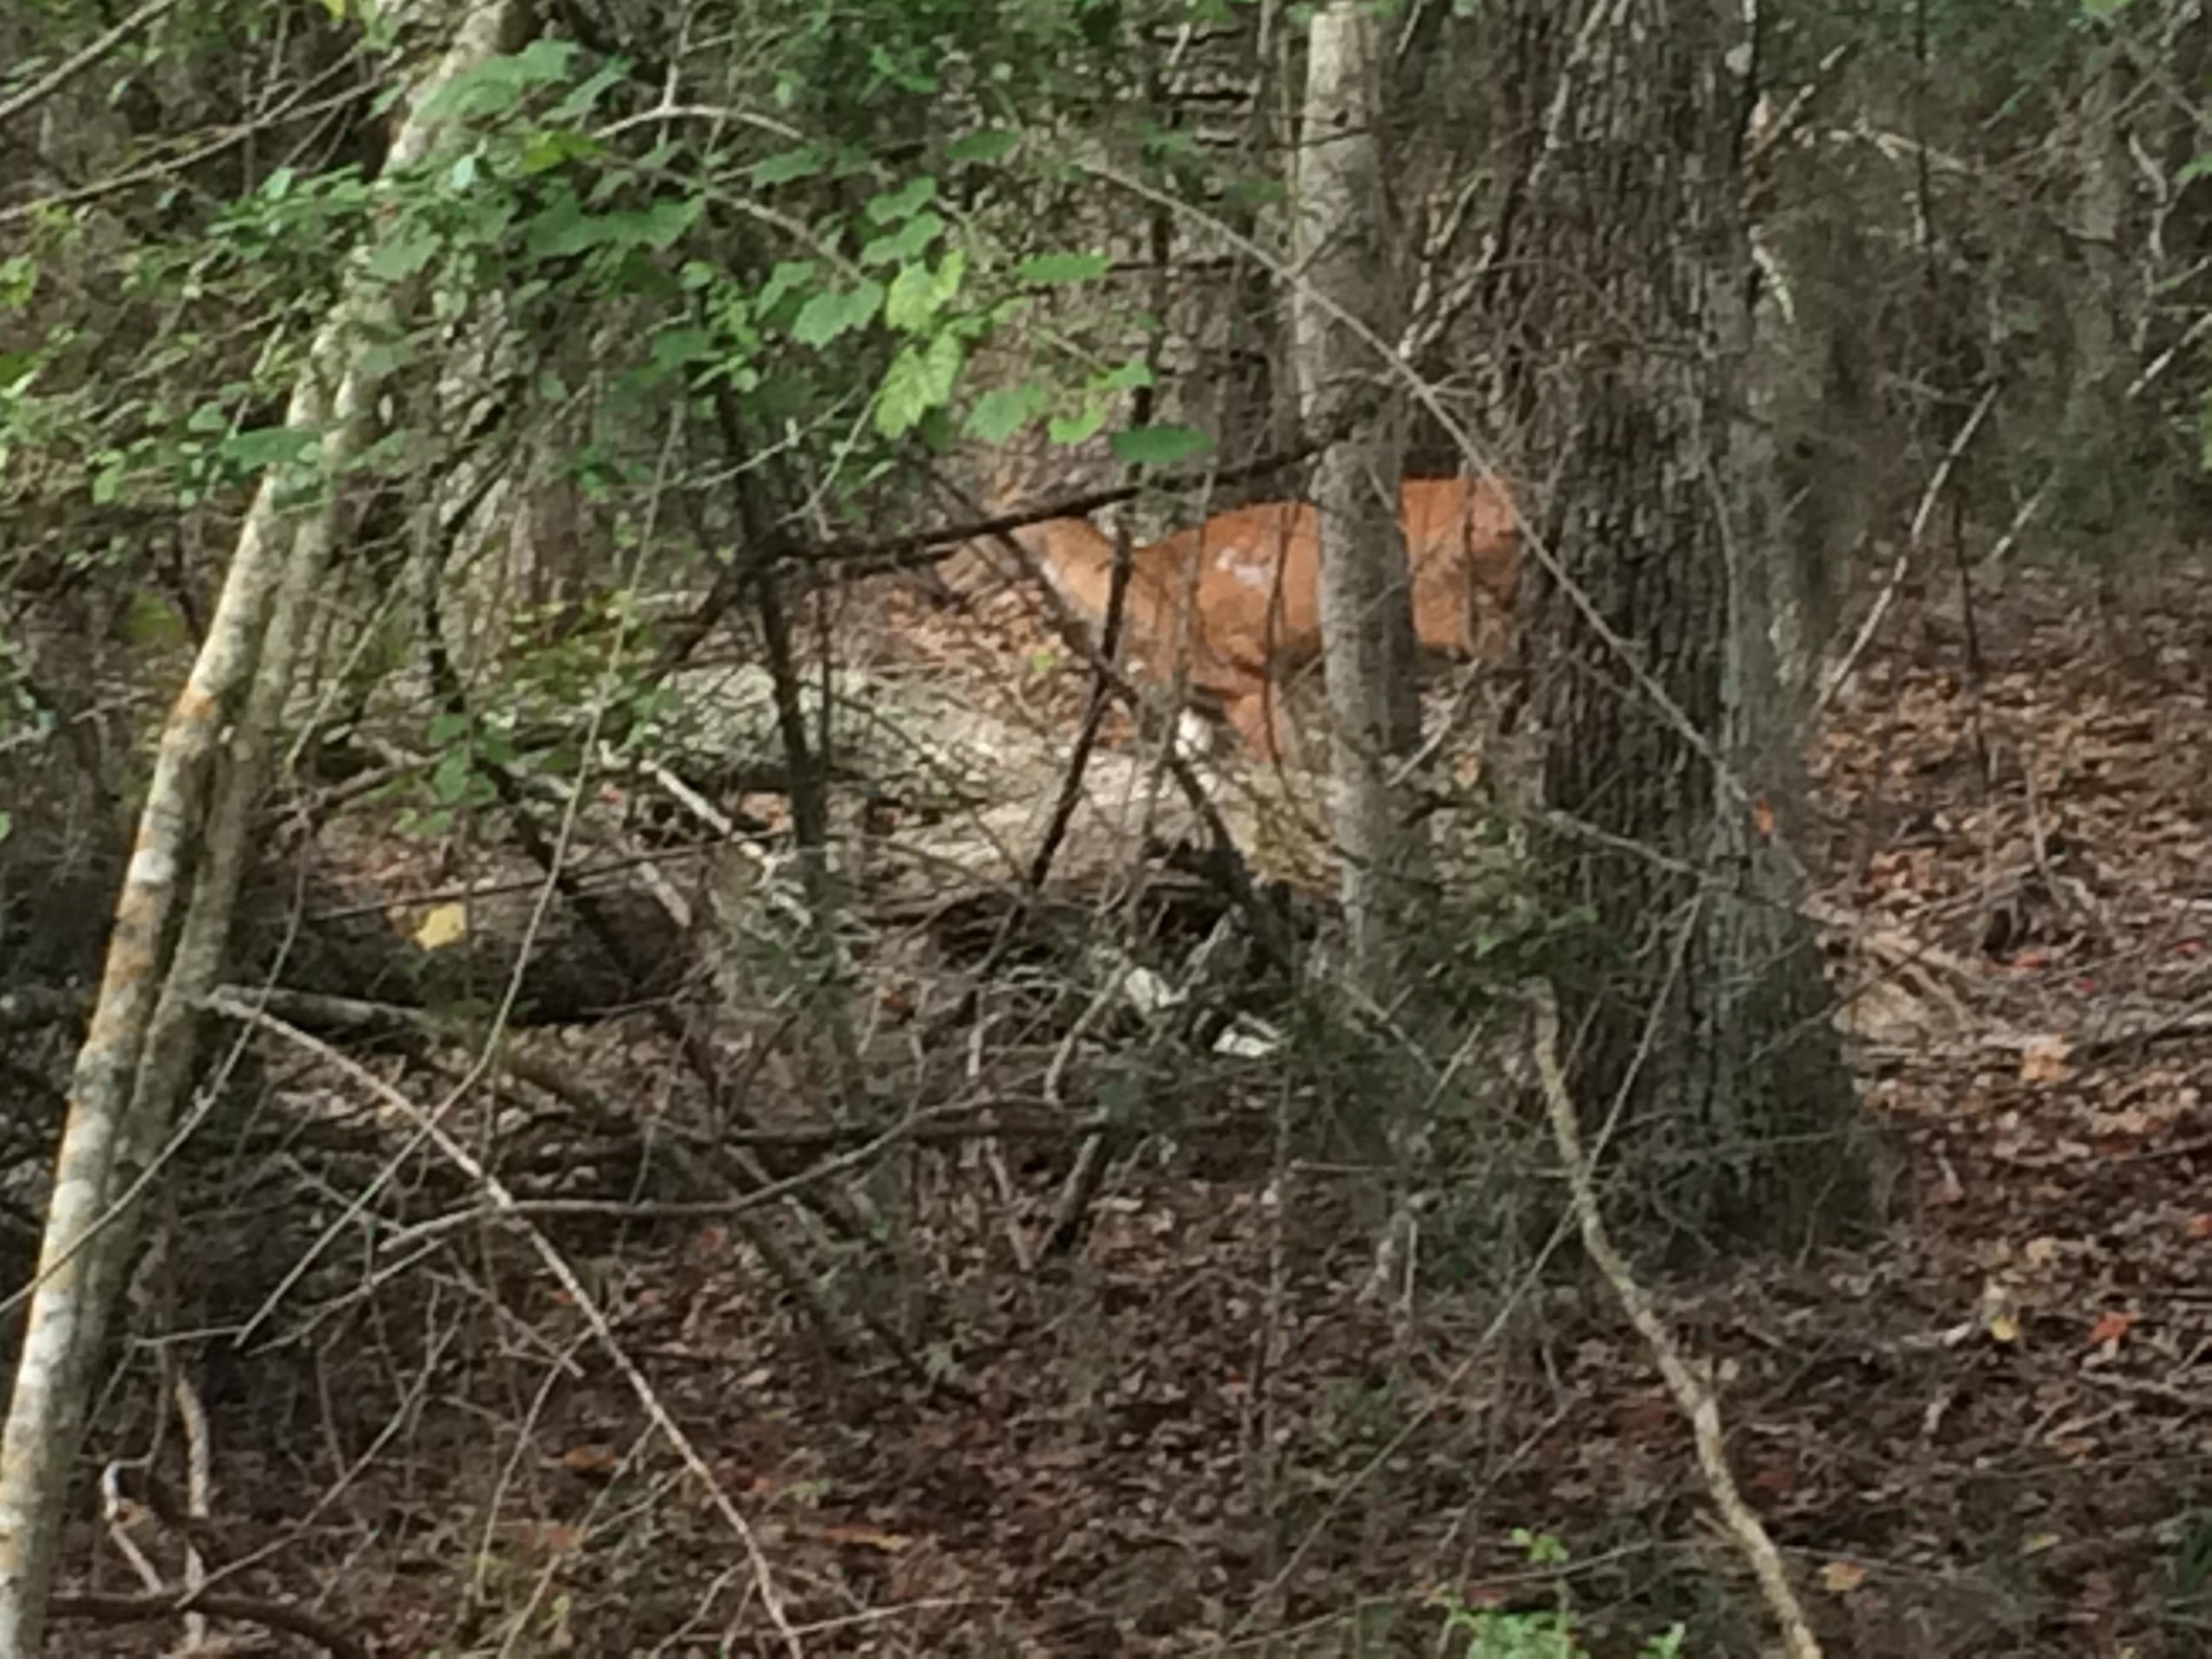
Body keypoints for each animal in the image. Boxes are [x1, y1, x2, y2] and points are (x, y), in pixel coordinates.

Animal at [966, 472, 1520, 764]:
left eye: (997, 524)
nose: (952, 572)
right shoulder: (1205, 695)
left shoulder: (1243, 674)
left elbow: (1283, 763)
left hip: (1443, 603)